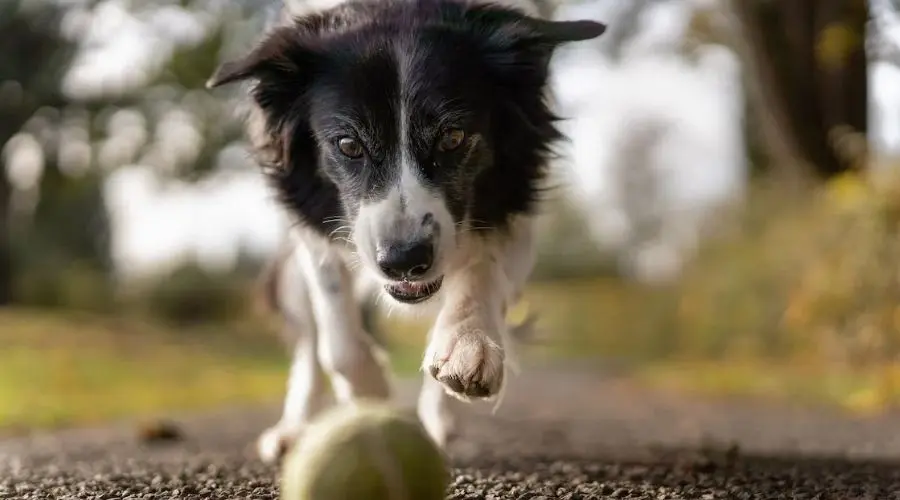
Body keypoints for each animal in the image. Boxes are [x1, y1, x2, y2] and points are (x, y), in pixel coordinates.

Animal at [207, 0, 608, 462]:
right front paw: (373, 395)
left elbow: (482, 269)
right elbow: (337, 338)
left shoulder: (516, 206)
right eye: (348, 145)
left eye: (453, 137)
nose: (404, 262)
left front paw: (467, 343)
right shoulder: (313, 228)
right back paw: (293, 430)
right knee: (308, 345)